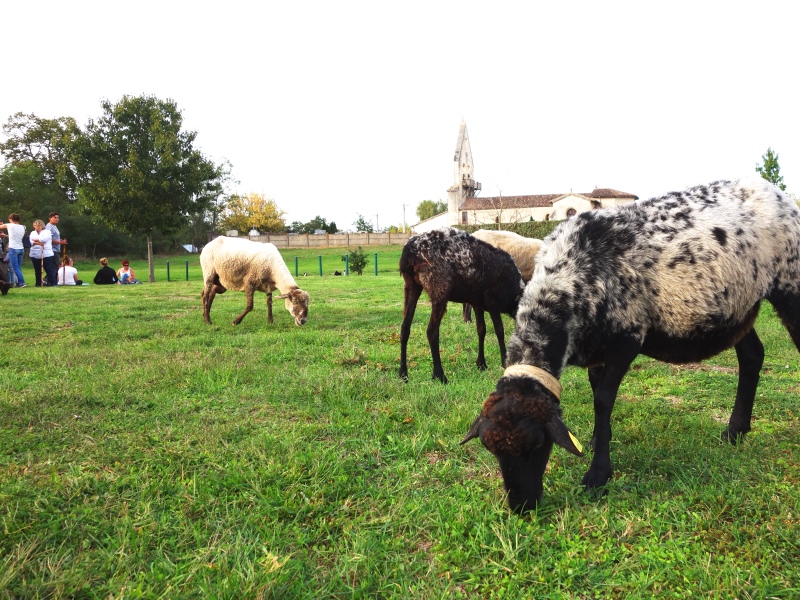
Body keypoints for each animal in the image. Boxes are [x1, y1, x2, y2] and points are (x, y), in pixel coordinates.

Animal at [398, 227, 524, 382]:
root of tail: (411, 250)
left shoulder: (477, 304)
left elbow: (481, 330)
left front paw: (481, 364)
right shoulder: (493, 303)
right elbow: (499, 331)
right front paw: (504, 361)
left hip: (412, 286)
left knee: (405, 328)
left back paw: (403, 373)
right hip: (439, 288)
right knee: (431, 331)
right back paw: (439, 375)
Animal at [460, 178, 800, 510]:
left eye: (538, 443)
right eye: (490, 448)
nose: (521, 507)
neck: (570, 279)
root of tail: (774, 191)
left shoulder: (627, 340)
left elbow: (603, 399)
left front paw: (598, 475)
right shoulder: (595, 347)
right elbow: (596, 392)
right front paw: (597, 440)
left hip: (789, 283)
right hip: (739, 307)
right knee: (752, 356)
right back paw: (734, 431)